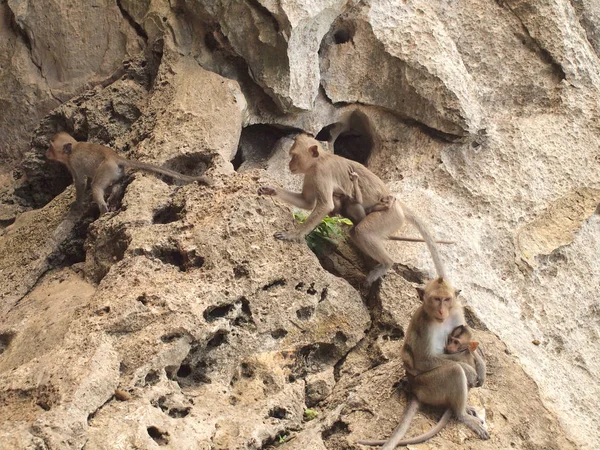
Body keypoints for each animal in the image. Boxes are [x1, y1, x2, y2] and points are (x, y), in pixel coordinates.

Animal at [45, 131, 212, 215]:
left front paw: (77, 204)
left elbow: (80, 183)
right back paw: (113, 196)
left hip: (106, 169)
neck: (73, 148)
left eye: (51, 147)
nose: (46, 153)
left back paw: (103, 210)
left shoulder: (73, 163)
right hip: (114, 172)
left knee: (97, 187)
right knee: (113, 184)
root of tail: (115, 157)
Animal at [258, 134, 450, 284]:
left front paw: (293, 235)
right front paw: (271, 190)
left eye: (294, 156)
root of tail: (398, 205)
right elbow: (307, 202)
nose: (290, 165)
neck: (319, 160)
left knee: (362, 232)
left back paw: (387, 263)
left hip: (390, 217)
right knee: (356, 232)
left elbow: (324, 206)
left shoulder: (321, 173)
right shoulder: (311, 174)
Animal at [358, 280, 490, 448]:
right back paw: (462, 414)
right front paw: (470, 369)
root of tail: (414, 389)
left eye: (446, 299)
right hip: (428, 386)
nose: (441, 310)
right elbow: (423, 360)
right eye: (436, 299)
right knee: (455, 370)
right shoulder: (424, 323)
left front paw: (480, 362)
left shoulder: (456, 311)